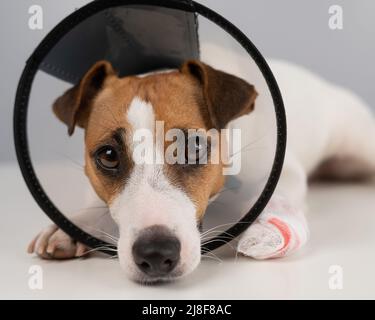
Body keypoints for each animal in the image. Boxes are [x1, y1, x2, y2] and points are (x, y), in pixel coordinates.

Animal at [27, 42, 375, 282]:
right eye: (109, 156)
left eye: (193, 147)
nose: (156, 254)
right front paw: (69, 228)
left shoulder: (284, 171)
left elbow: (278, 197)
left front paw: (268, 232)